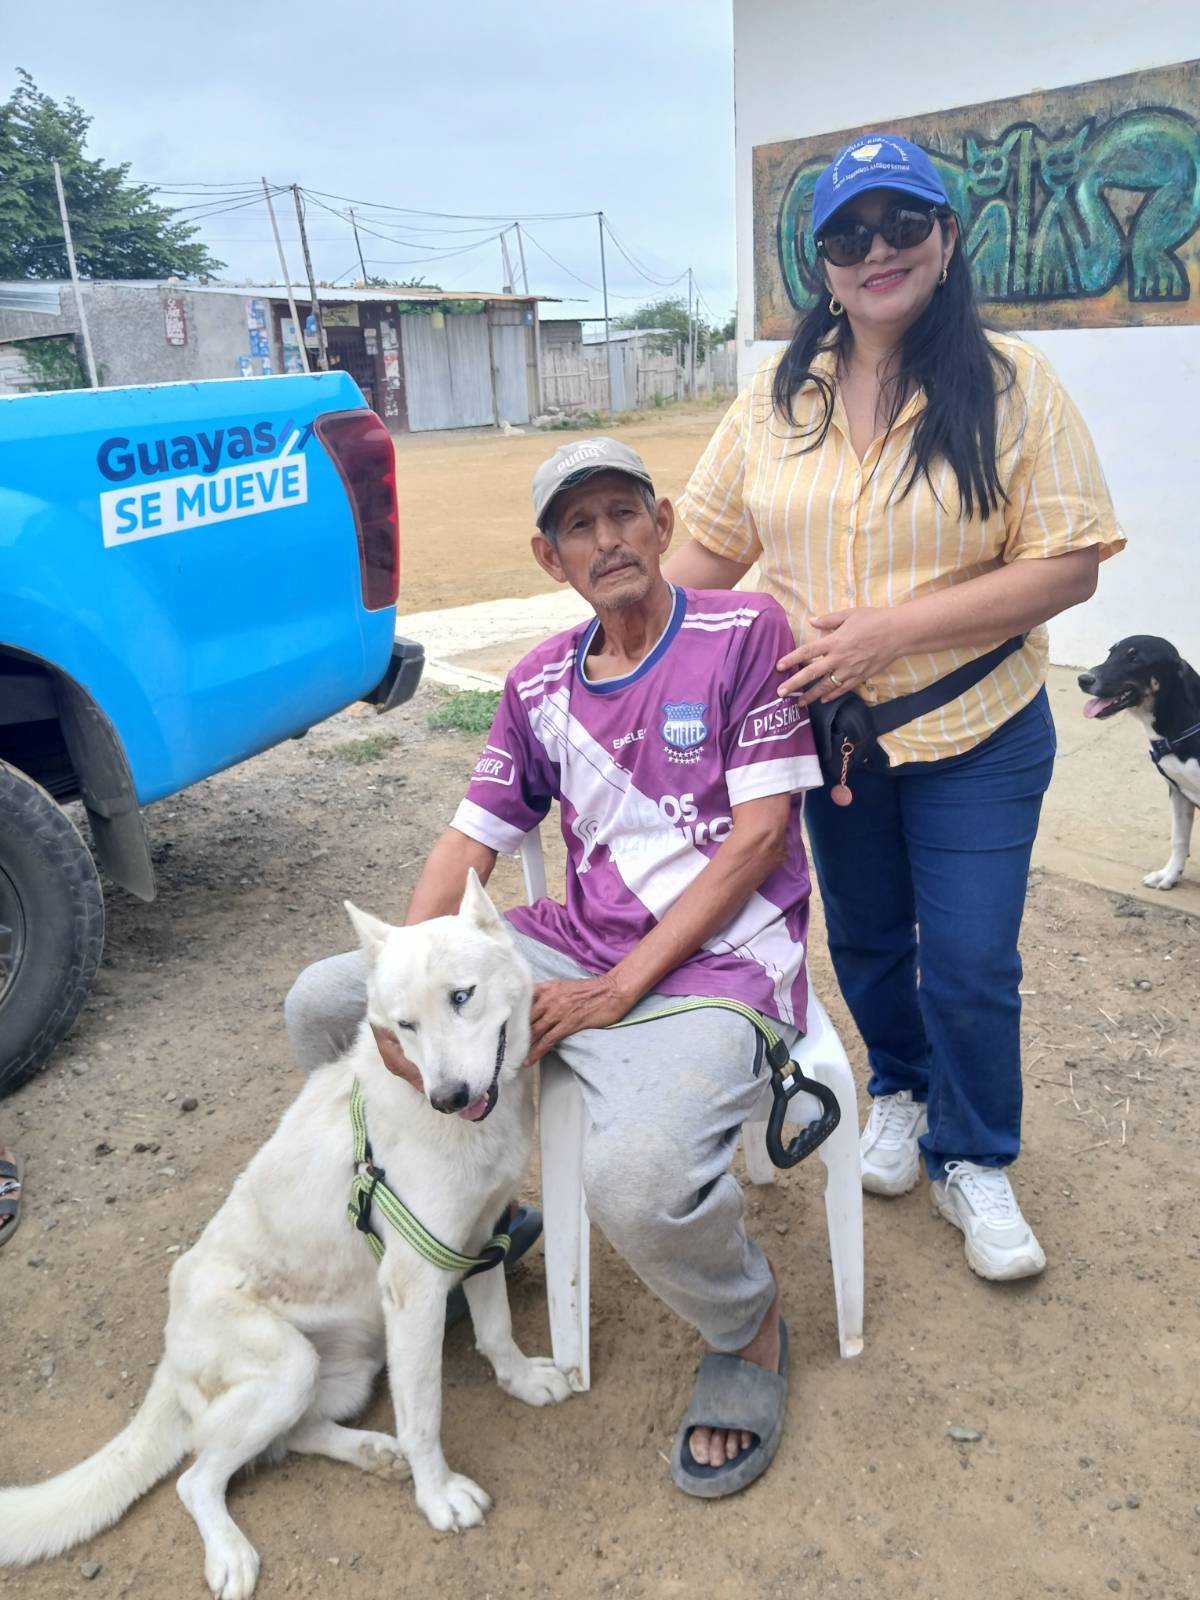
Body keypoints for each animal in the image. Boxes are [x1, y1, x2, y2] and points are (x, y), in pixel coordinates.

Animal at [0, 873, 570, 1600]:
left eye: (461, 997)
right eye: (405, 1026)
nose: (448, 1096)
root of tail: (170, 1354)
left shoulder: (480, 1235)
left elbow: (496, 1330)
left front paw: (520, 1381)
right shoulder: (415, 1284)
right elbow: (423, 1417)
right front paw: (437, 1495)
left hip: (341, 1374)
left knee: (286, 1439)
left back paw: (371, 1452)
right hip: (289, 1364)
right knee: (197, 1477)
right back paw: (232, 1551)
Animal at [1079, 634, 1200, 891]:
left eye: (1135, 659)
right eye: (1110, 652)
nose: (1083, 679)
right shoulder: (1178, 790)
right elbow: (1179, 839)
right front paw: (1169, 875)